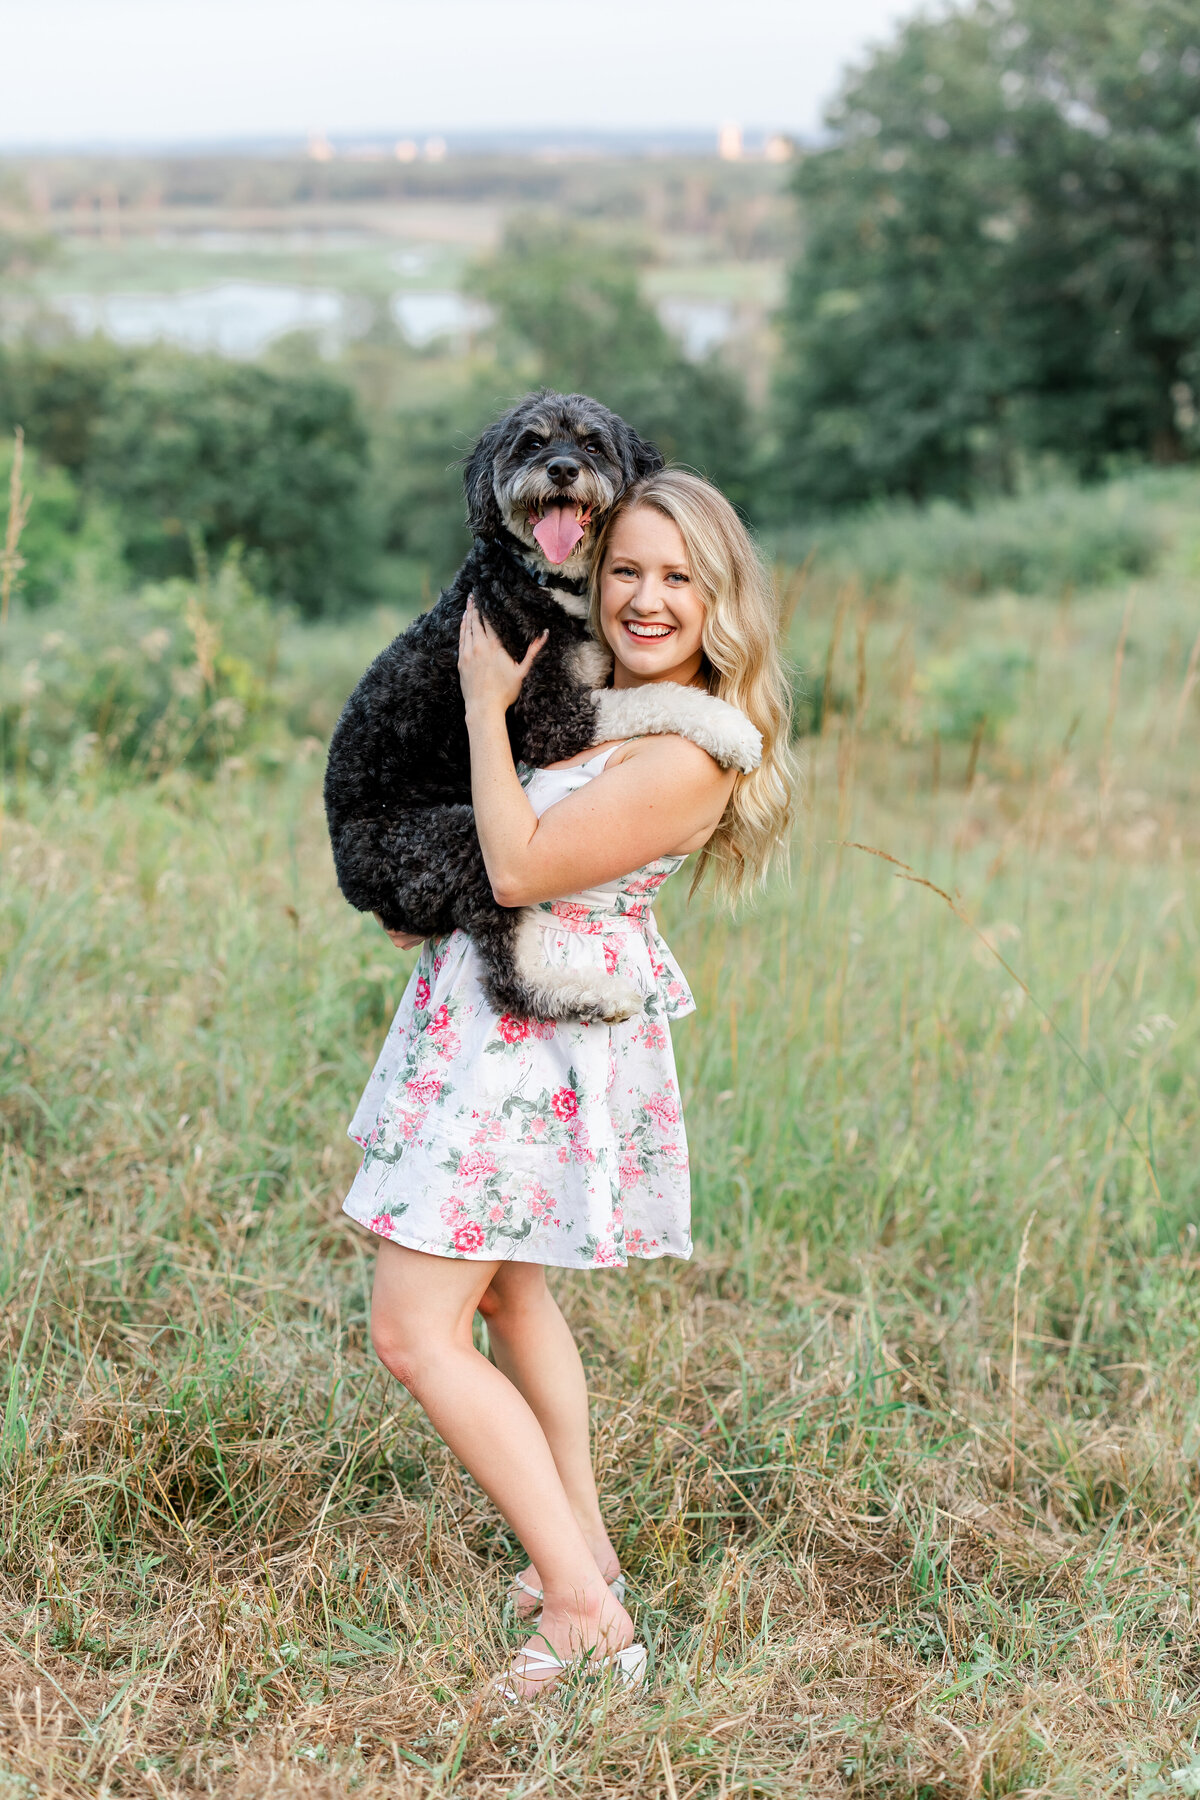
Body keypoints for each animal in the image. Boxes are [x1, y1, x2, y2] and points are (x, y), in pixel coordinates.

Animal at [325, 387, 759, 1022]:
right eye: (531, 442)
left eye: (592, 445)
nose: (561, 469)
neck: (546, 585)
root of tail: (352, 885)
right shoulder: (550, 719)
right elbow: (653, 694)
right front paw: (731, 727)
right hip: (459, 840)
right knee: (506, 976)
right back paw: (595, 995)